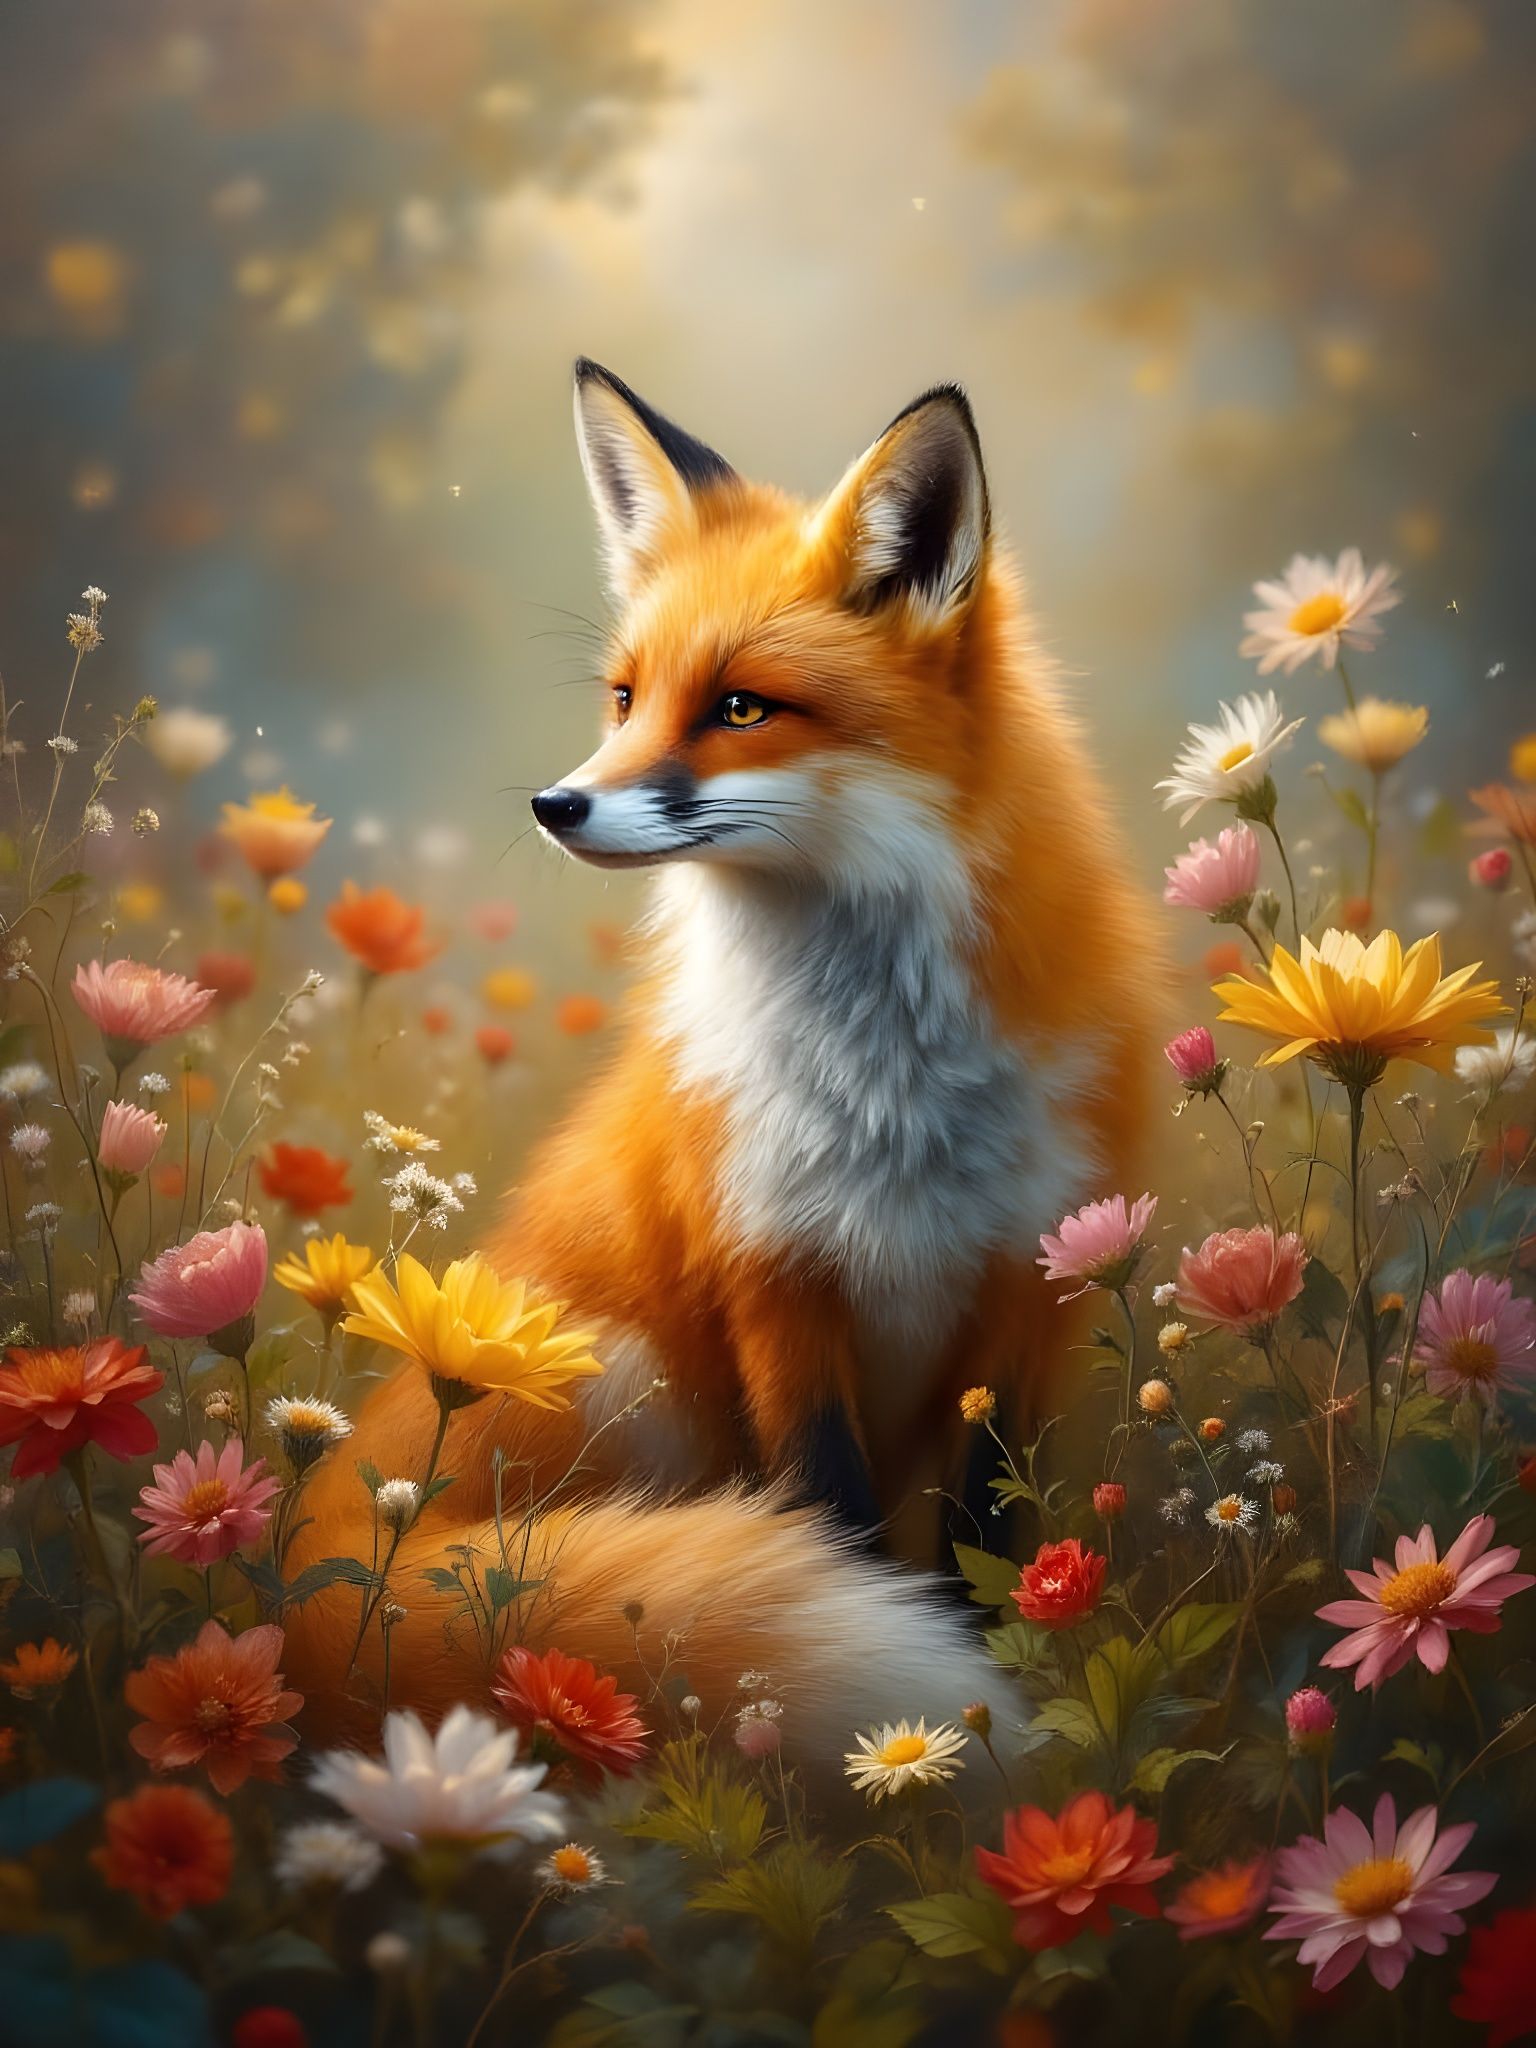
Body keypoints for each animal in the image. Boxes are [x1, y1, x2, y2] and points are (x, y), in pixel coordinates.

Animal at [282, 360, 1162, 1756]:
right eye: (626, 698)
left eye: (742, 706)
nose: (554, 805)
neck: (890, 1086)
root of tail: (326, 1546)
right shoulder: (774, 1280)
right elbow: (835, 1531)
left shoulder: (1028, 1289)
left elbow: (986, 1541)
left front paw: (987, 1699)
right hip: (624, 1371)